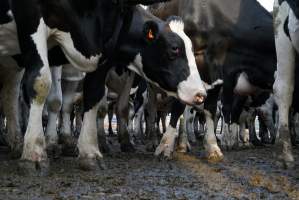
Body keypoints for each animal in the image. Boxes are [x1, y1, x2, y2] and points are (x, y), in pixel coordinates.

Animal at [0, 0, 207, 173]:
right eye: (174, 49)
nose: (201, 94)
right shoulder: (32, 18)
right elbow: (43, 86)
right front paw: (36, 152)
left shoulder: (105, 52)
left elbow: (94, 96)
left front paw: (90, 152)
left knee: (10, 94)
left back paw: (16, 142)